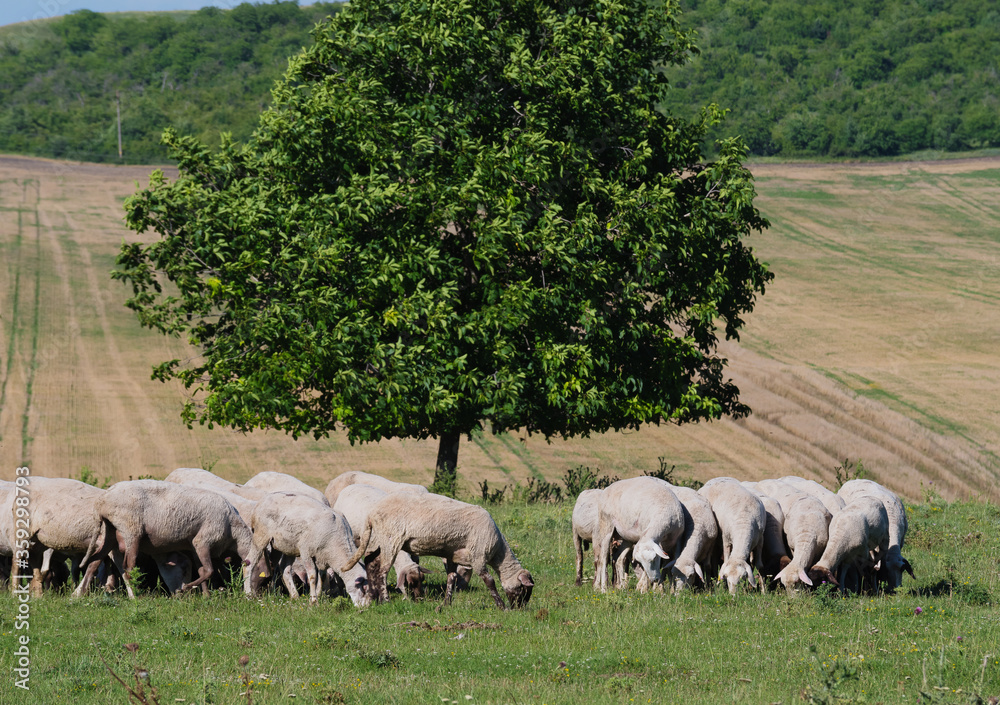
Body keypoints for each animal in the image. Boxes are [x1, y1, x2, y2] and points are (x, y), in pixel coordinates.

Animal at [79, 480, 253, 598]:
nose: (254, 596)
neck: (233, 530)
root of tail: (102, 502)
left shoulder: (195, 545)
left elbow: (202, 570)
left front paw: (206, 596)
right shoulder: (203, 540)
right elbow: (209, 571)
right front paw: (185, 588)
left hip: (110, 531)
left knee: (95, 560)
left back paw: (81, 593)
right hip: (131, 530)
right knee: (127, 567)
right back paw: (136, 596)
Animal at [341, 492, 533, 610]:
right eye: (524, 590)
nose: (520, 609)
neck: (497, 551)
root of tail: (371, 513)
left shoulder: (452, 555)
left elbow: (451, 578)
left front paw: (446, 604)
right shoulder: (478, 556)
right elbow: (490, 581)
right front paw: (502, 606)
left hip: (377, 540)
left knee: (371, 563)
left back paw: (373, 597)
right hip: (391, 538)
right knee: (382, 571)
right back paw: (385, 600)